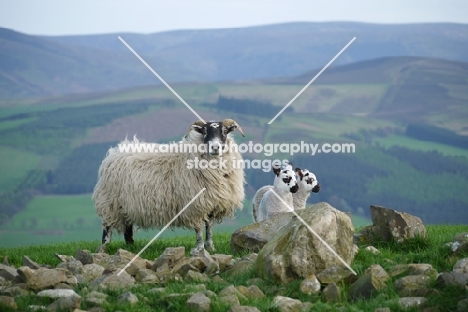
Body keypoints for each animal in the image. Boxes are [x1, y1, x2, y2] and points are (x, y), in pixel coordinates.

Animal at [91, 118, 245, 252]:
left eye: (224, 131)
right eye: (205, 132)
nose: (215, 147)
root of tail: (114, 153)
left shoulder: (212, 203)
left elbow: (209, 227)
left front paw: (210, 247)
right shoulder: (194, 205)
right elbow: (199, 229)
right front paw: (200, 248)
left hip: (126, 205)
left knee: (127, 229)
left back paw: (131, 247)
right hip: (111, 202)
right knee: (107, 226)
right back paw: (104, 247)